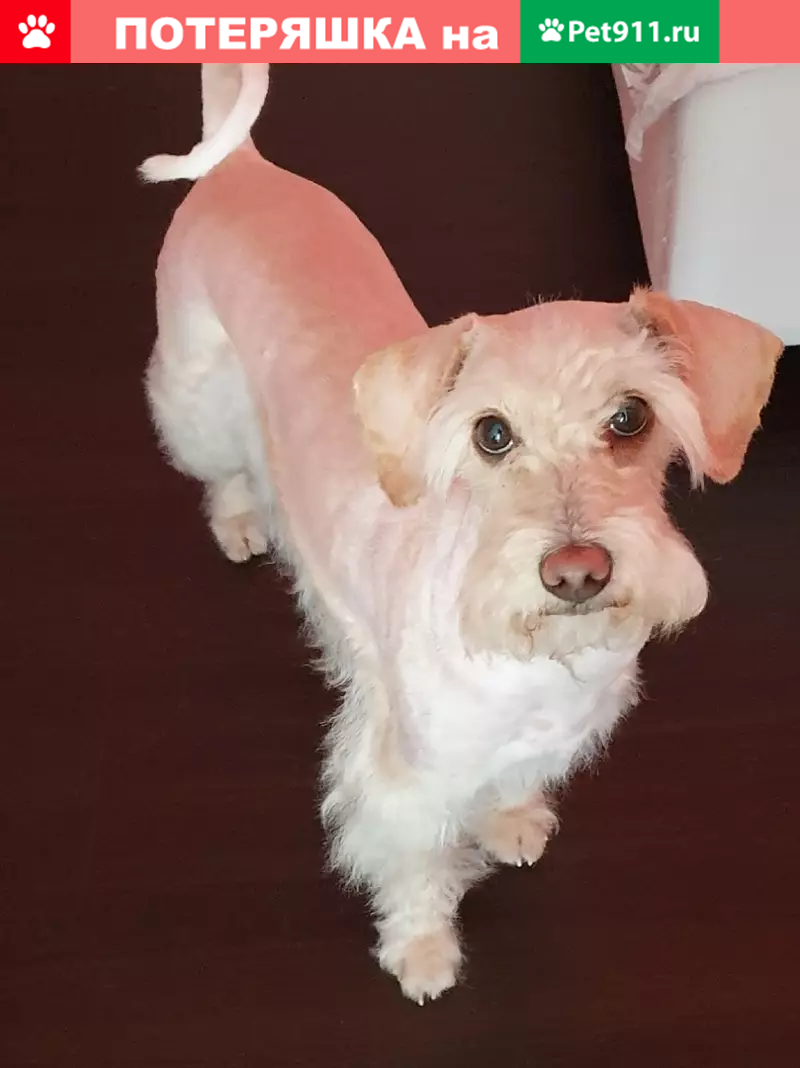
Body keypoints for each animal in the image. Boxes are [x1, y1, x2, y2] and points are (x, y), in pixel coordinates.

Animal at [142, 63, 783, 1003]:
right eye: (491, 433)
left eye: (631, 417)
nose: (577, 571)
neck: (541, 662)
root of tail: (244, 168)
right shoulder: (405, 782)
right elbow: (416, 868)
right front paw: (422, 953)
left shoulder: (544, 740)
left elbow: (510, 785)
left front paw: (512, 823)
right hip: (199, 401)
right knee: (218, 468)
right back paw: (238, 522)